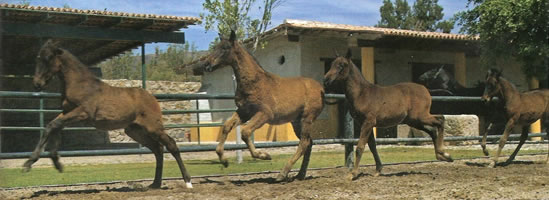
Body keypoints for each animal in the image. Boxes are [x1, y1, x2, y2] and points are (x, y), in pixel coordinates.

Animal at [25, 39, 193, 188]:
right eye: (38, 57)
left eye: (48, 57)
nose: (37, 84)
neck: (80, 84)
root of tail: (152, 98)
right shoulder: (67, 113)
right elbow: (52, 127)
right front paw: (51, 163)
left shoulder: (83, 113)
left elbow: (53, 125)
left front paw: (32, 163)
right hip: (135, 131)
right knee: (157, 149)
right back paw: (155, 184)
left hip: (153, 128)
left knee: (171, 145)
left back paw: (187, 182)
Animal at [324, 49, 452, 180]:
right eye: (332, 64)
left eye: (341, 65)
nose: (326, 80)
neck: (361, 93)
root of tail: (426, 90)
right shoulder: (364, 123)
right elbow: (372, 146)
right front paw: (378, 170)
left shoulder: (368, 122)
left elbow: (360, 147)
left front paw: (352, 174)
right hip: (414, 121)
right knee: (433, 130)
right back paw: (443, 156)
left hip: (420, 116)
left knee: (440, 119)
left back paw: (444, 153)